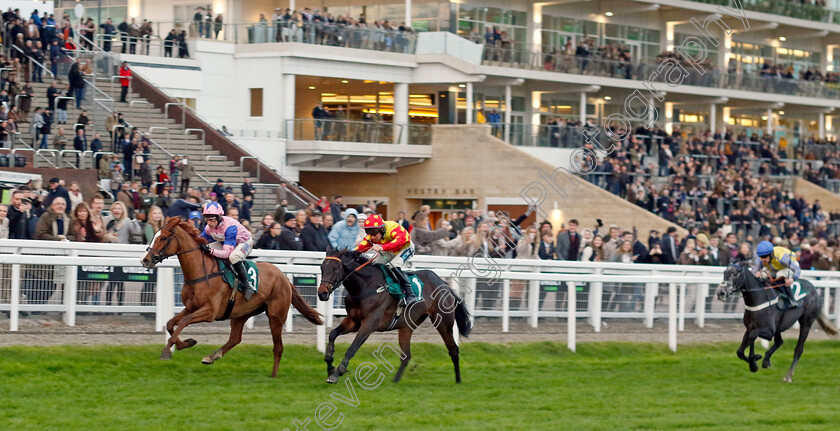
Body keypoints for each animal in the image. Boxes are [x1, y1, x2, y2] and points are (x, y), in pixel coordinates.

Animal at [139, 218, 324, 376]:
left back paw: (273, 376)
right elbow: (171, 323)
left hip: (276, 316)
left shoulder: (210, 311)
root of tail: (284, 277)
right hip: (241, 313)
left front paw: (166, 352)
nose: (145, 260)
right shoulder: (191, 307)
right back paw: (211, 357)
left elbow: (183, 322)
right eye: (154, 236)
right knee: (235, 338)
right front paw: (186, 343)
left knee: (278, 347)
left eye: (163, 238)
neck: (201, 272)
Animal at [316, 250, 472, 384]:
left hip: (443, 322)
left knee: (453, 350)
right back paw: (395, 381)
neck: (366, 286)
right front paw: (329, 365)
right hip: (406, 326)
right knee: (406, 355)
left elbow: (352, 348)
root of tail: (444, 284)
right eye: (322, 267)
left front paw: (337, 373)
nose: (322, 293)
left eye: (336, 268)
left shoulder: (369, 323)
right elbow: (332, 334)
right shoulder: (353, 321)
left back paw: (458, 381)